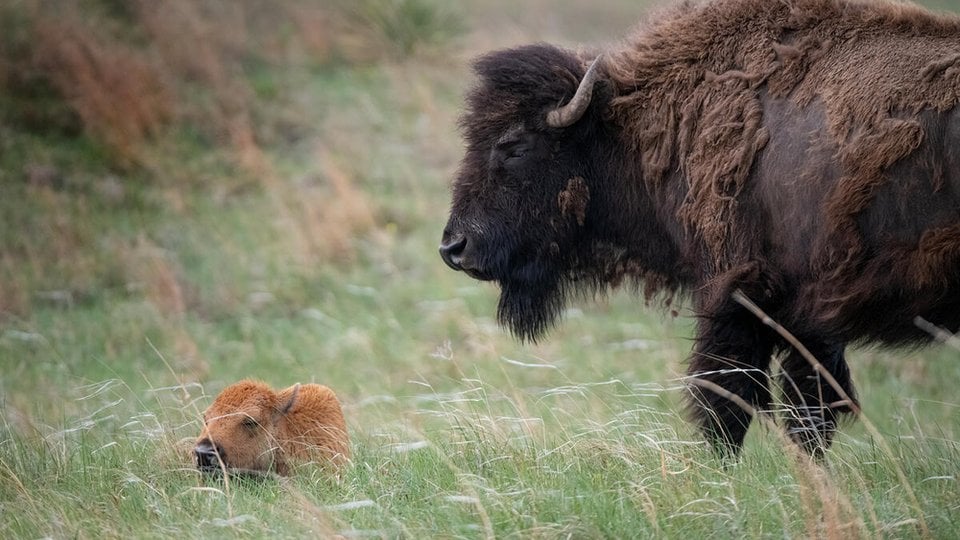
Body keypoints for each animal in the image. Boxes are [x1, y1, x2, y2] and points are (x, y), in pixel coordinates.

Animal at [439, 0, 960, 457]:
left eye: (514, 146)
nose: (453, 247)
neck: (636, 129)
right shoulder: (811, 319)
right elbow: (807, 411)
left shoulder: (740, 294)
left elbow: (727, 402)